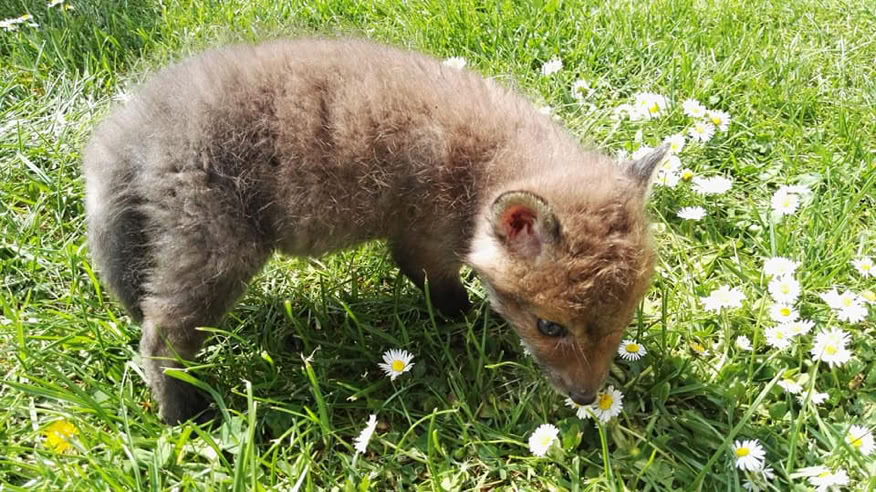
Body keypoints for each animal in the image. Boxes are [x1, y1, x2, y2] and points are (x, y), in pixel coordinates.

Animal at [83, 37, 665, 424]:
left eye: (624, 318)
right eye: (550, 327)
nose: (587, 398)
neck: (481, 167)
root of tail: (127, 129)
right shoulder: (425, 237)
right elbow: (441, 288)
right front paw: (473, 325)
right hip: (218, 249)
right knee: (161, 336)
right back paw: (184, 413)